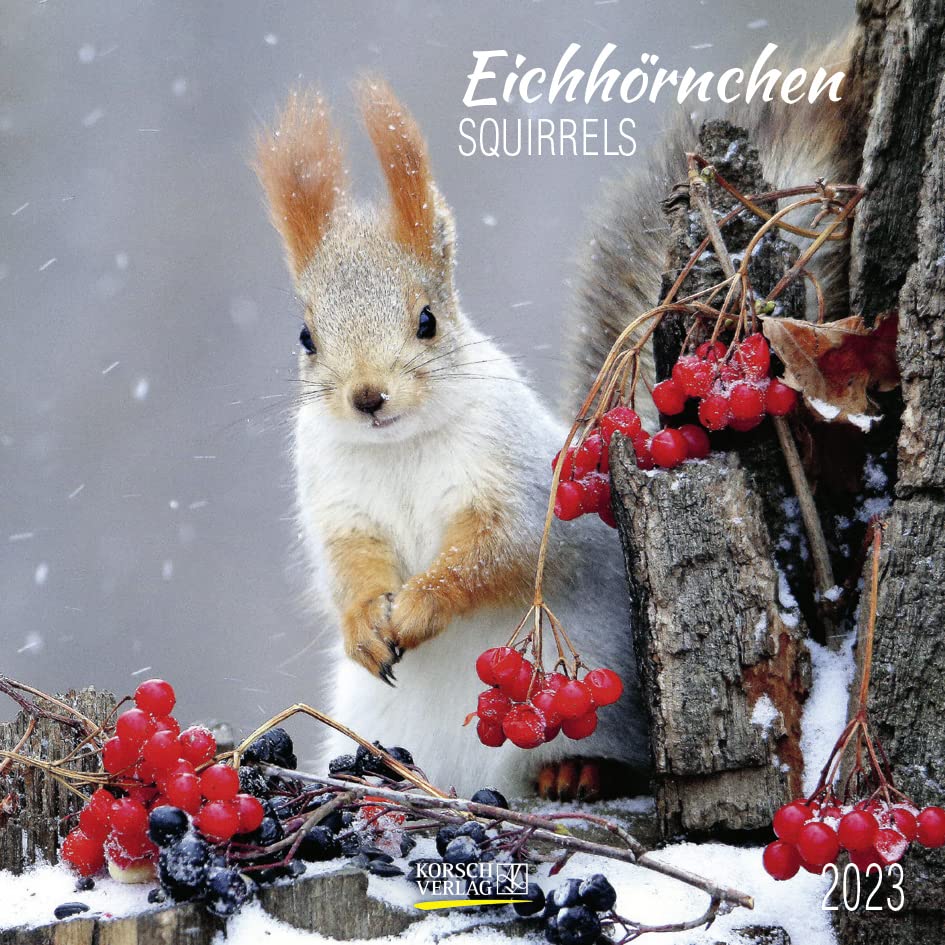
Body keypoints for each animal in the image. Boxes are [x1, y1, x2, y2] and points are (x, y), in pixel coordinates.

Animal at [254, 37, 862, 800]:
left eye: (427, 320)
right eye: (306, 337)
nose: (368, 396)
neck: (398, 447)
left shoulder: (510, 480)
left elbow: (494, 551)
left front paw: (422, 604)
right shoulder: (336, 503)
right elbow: (347, 568)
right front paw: (366, 622)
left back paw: (574, 769)